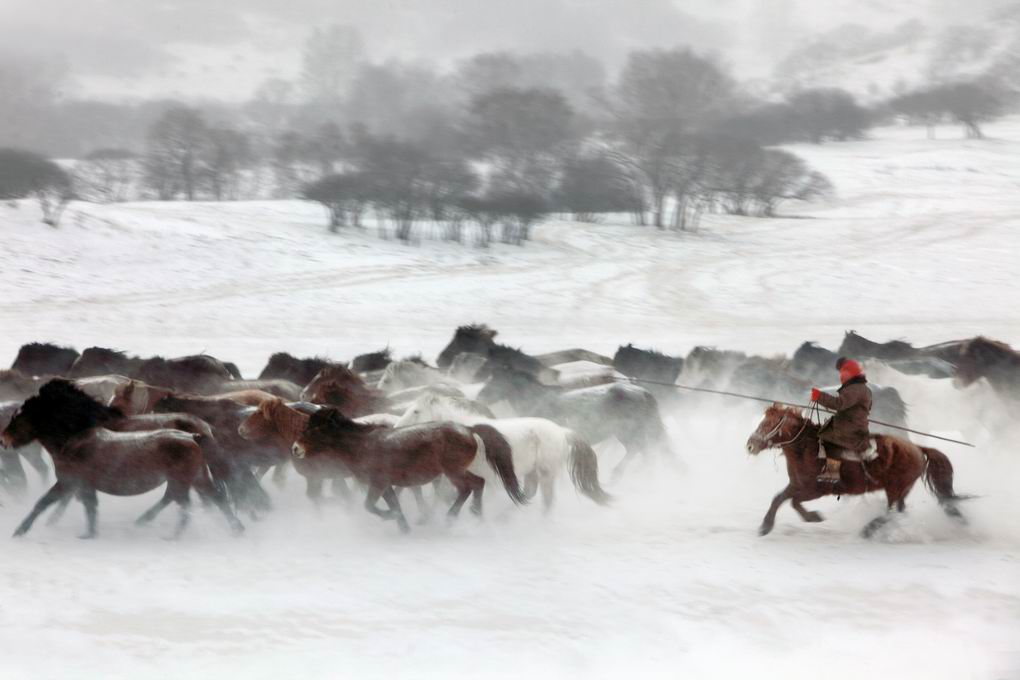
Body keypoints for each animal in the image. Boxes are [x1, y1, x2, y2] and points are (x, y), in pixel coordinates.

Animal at [0, 381, 241, 538]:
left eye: (18, 418)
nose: (3, 439)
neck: (74, 438)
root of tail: (197, 433)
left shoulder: (70, 481)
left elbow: (48, 502)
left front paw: (24, 529)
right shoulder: (80, 484)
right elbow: (85, 505)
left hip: (184, 480)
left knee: (183, 501)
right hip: (196, 477)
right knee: (211, 497)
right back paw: (235, 529)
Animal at [395, 391, 603, 507]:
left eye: (416, 411)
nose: (397, 427)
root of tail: (562, 432)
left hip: (546, 474)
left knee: (547, 501)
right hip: (532, 472)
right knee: (529, 493)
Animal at [746, 403, 966, 538]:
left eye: (769, 424)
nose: (750, 445)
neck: (807, 449)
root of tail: (918, 449)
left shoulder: (814, 490)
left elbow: (792, 501)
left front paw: (813, 517)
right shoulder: (797, 484)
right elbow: (779, 498)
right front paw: (766, 526)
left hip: (895, 488)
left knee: (891, 512)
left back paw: (868, 530)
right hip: (901, 489)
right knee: (898, 511)